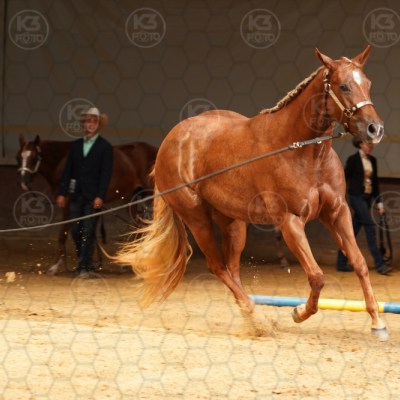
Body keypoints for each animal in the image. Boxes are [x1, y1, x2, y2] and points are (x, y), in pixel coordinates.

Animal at [17, 134, 158, 274]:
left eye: (34, 158)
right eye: (18, 157)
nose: (23, 182)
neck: (63, 162)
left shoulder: (68, 204)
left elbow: (64, 232)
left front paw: (55, 266)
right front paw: (88, 265)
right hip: (132, 198)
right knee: (139, 227)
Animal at [117, 46, 389, 339]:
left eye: (368, 84)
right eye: (344, 86)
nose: (375, 129)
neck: (302, 151)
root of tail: (170, 141)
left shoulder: (337, 212)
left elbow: (359, 262)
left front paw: (377, 322)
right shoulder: (290, 221)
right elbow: (316, 276)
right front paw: (299, 312)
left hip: (233, 222)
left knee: (231, 269)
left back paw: (251, 315)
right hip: (197, 219)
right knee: (217, 267)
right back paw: (258, 317)